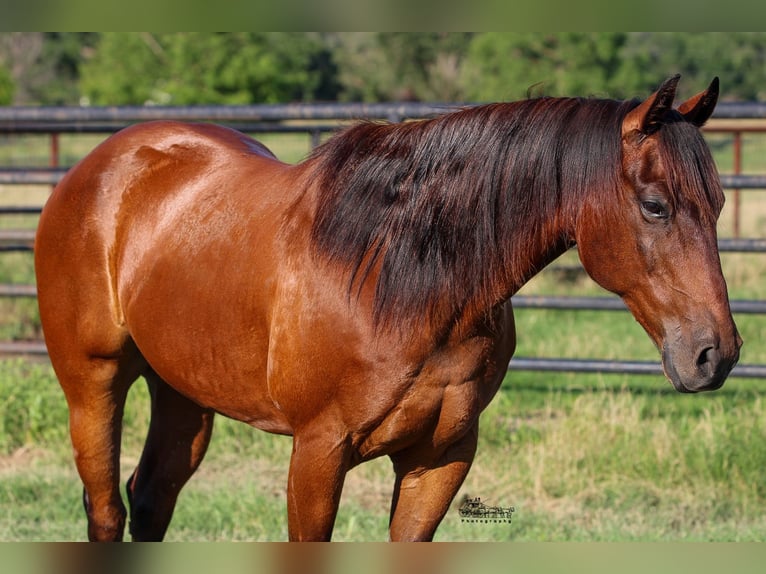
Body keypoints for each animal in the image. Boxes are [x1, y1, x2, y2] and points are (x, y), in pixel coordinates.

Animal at [34, 74, 744, 544]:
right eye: (655, 205)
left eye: (718, 204)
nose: (716, 354)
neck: (408, 280)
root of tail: (97, 167)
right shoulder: (318, 454)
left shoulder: (441, 457)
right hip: (93, 384)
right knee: (107, 510)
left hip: (184, 392)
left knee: (151, 501)